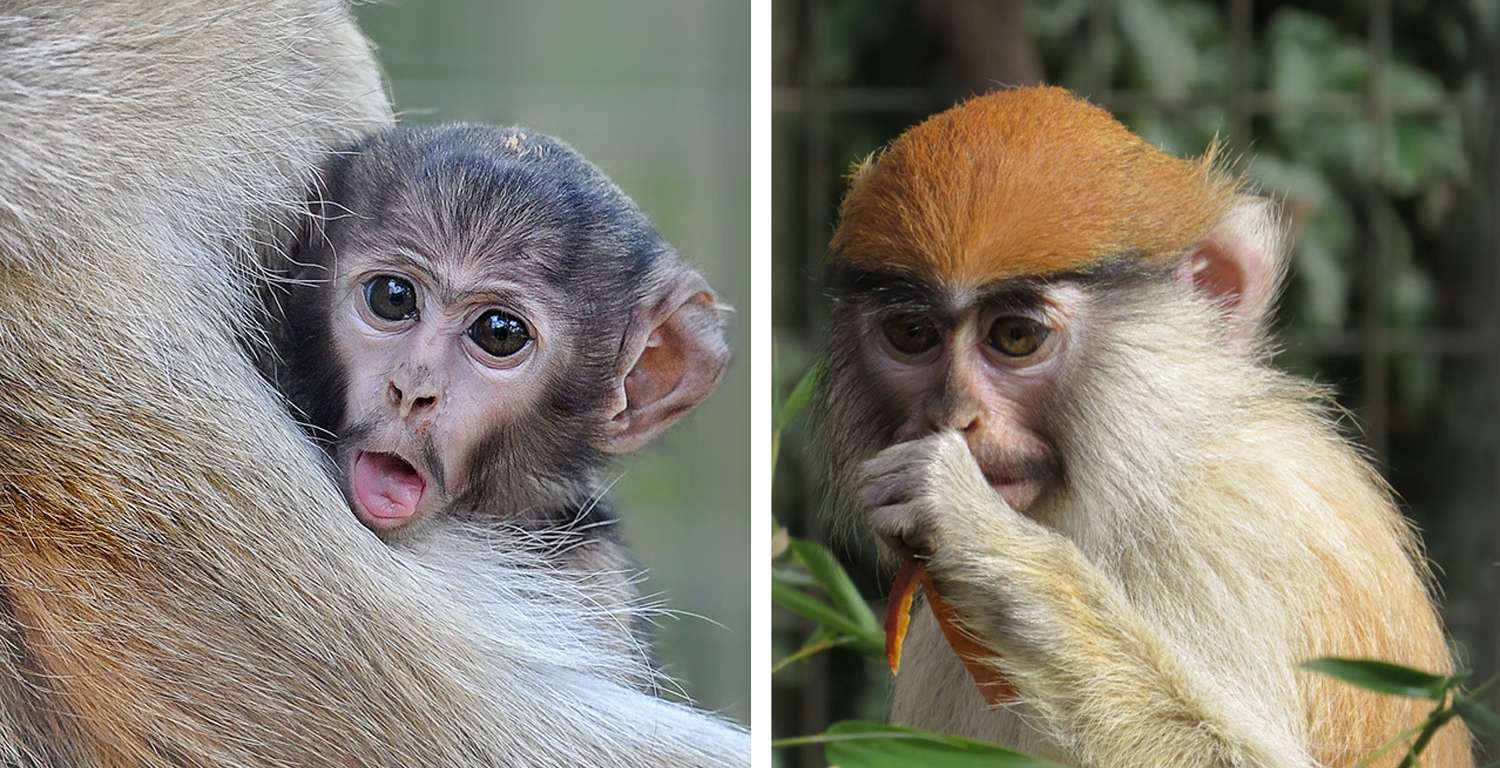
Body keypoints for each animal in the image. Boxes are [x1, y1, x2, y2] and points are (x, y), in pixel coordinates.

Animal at [811, 86, 1472, 768]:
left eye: (1015, 336)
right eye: (912, 334)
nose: (953, 417)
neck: (1144, 480)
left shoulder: (1240, 523)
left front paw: (985, 539)